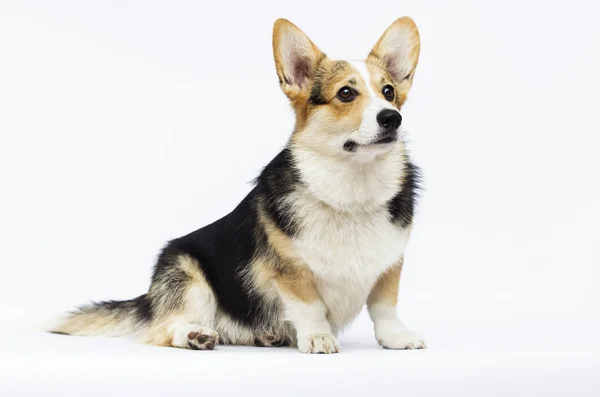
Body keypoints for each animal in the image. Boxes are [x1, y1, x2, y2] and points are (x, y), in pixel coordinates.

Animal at [51, 17, 426, 354]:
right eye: (346, 93)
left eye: (389, 92)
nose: (392, 118)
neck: (353, 188)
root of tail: (149, 298)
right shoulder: (291, 273)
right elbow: (309, 307)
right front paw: (318, 337)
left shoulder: (390, 265)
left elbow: (384, 307)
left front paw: (396, 338)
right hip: (189, 277)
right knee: (164, 328)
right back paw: (195, 336)